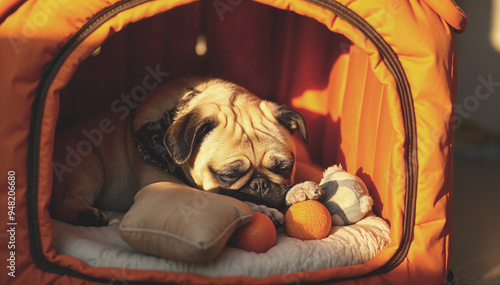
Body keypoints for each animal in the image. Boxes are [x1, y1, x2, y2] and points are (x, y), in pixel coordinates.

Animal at [48, 77, 322, 226]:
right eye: (228, 175)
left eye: (284, 168)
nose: (260, 185)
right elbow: (226, 197)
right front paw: (263, 209)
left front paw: (298, 190)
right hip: (89, 169)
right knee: (63, 204)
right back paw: (87, 215)